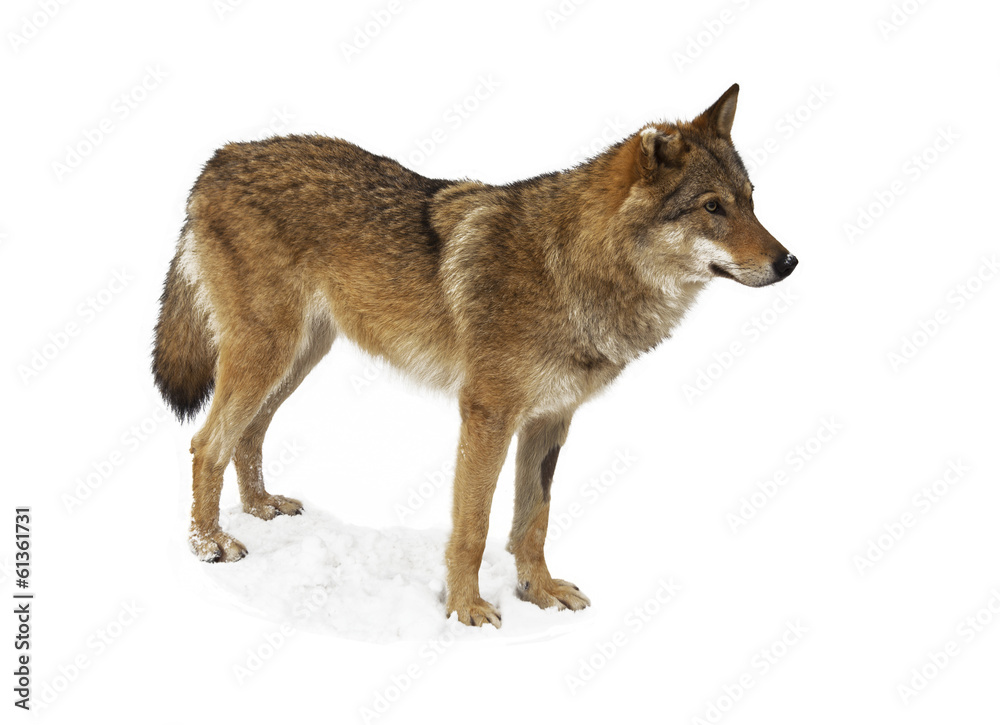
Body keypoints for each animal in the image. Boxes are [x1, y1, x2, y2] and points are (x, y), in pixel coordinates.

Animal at [153, 84, 796, 627]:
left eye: (751, 201)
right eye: (712, 207)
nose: (789, 262)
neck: (571, 267)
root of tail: (219, 158)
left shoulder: (550, 420)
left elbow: (533, 522)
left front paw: (539, 593)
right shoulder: (486, 414)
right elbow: (475, 527)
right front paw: (465, 610)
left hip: (297, 358)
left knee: (249, 433)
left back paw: (261, 508)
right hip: (268, 354)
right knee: (206, 443)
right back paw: (209, 545)